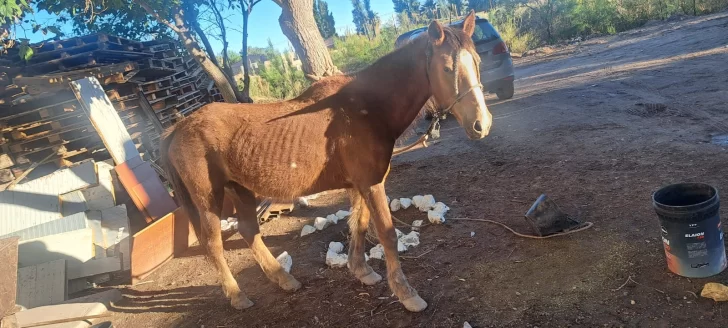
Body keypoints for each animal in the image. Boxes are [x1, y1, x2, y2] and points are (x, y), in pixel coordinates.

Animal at [161, 10, 492, 312]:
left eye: (477, 62)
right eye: (447, 68)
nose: (482, 124)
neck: (365, 109)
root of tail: (179, 128)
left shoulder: (361, 184)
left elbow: (359, 223)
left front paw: (362, 271)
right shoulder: (371, 184)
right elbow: (386, 233)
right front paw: (406, 293)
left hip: (240, 189)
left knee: (248, 230)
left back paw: (284, 279)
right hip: (209, 199)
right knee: (215, 245)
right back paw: (237, 295)